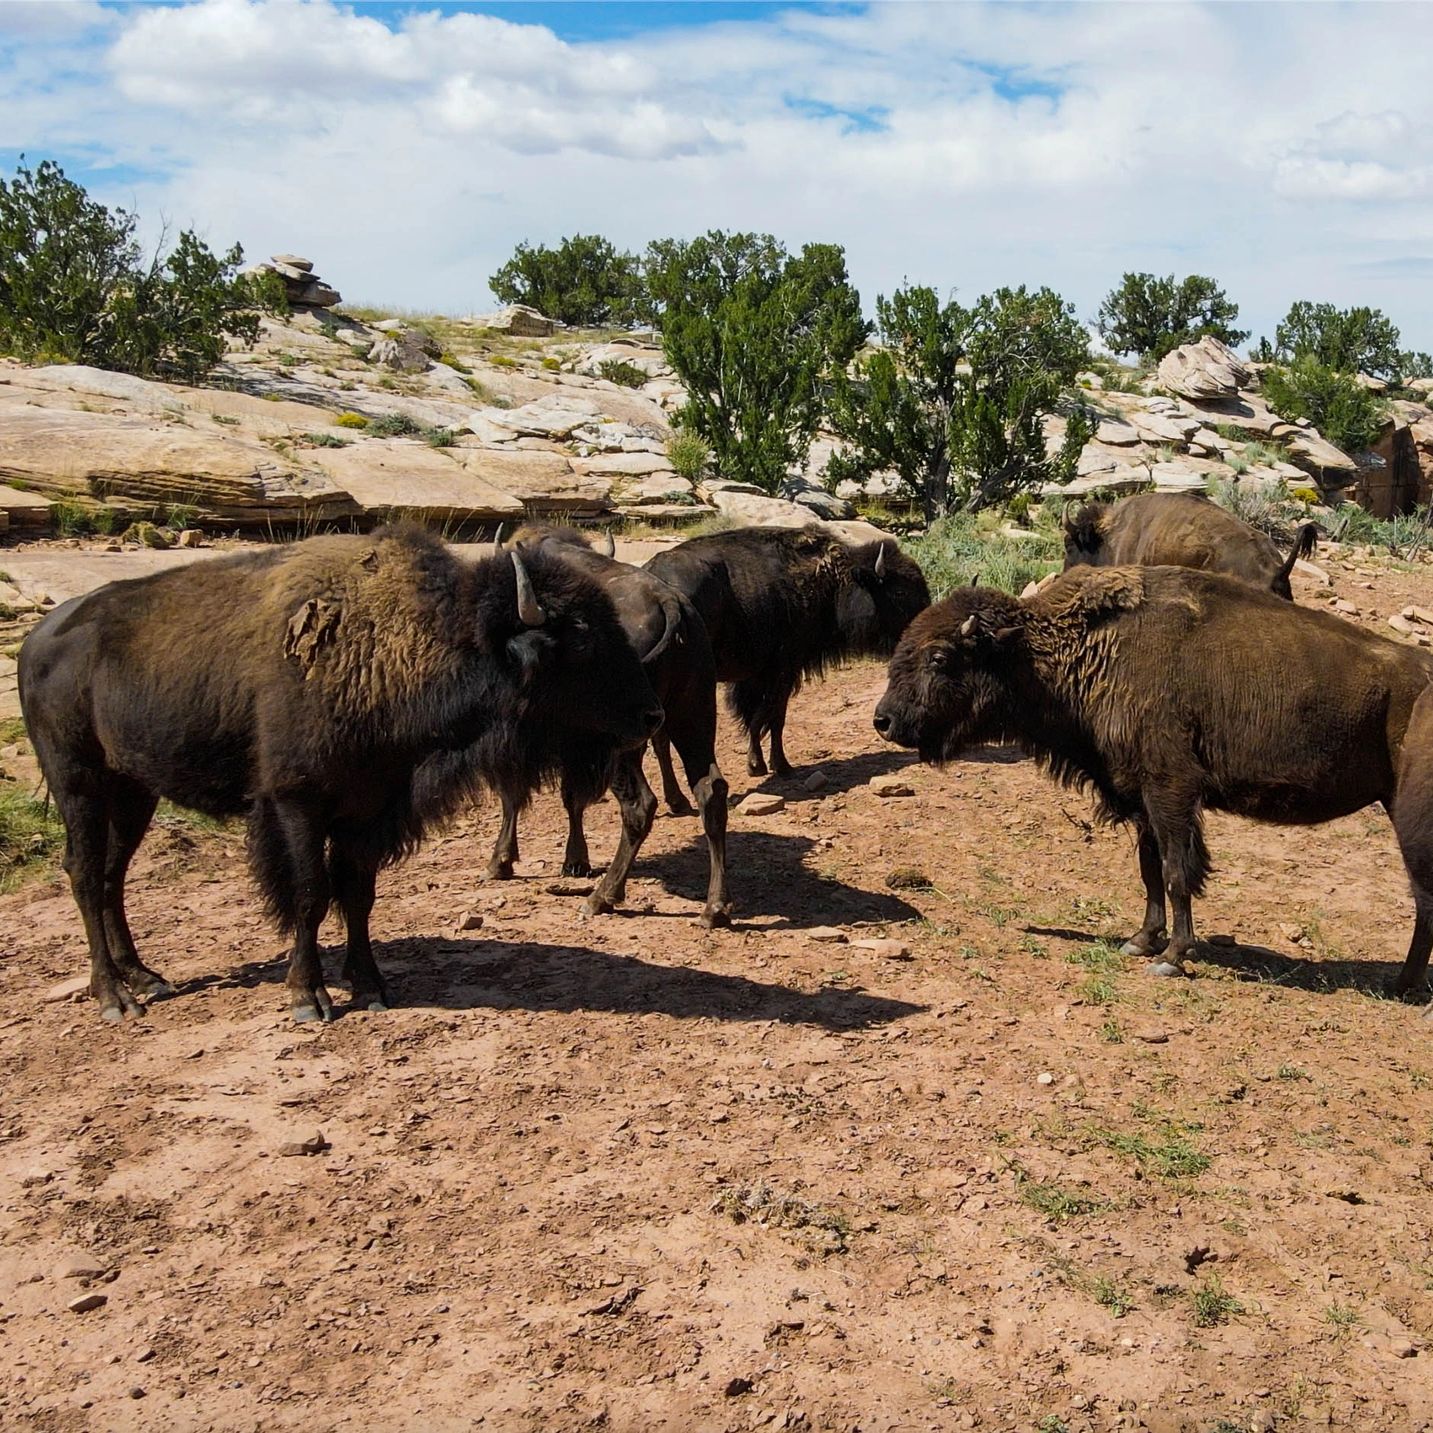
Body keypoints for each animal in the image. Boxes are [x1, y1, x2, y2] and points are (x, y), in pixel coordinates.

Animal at [18, 525, 662, 1024]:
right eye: (580, 641)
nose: (650, 714)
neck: (401, 643)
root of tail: (38, 639)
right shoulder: (297, 804)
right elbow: (310, 892)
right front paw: (310, 997)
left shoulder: (369, 809)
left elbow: (357, 891)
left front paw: (371, 984)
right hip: (78, 781)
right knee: (83, 872)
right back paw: (115, 998)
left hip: (133, 791)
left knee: (111, 875)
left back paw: (146, 977)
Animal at [481, 525, 732, 929]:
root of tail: (670, 604)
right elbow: (569, 796)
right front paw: (575, 861)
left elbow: (516, 792)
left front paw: (501, 861)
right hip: (694, 718)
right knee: (711, 790)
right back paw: (714, 909)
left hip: (627, 742)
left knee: (639, 805)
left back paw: (602, 897)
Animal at [645, 526, 930, 779]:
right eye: (900, 590)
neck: (832, 580)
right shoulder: (782, 671)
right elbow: (771, 718)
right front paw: (774, 766)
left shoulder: (759, 676)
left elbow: (758, 717)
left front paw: (761, 764)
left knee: (659, 740)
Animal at [873, 564, 1433, 991]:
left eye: (940, 657)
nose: (884, 720)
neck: (1080, 649)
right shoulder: (1140, 797)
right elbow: (1149, 870)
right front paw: (1141, 941)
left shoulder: (1171, 792)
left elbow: (1176, 871)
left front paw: (1173, 956)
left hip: (1408, 818)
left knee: (1424, 897)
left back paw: (1404, 986)